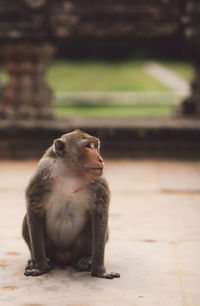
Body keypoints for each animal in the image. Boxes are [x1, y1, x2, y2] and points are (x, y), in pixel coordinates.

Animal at [21, 129, 119, 280]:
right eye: (88, 146)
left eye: (95, 146)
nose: (100, 159)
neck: (71, 174)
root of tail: (64, 259)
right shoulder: (42, 174)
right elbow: (34, 210)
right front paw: (41, 267)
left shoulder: (99, 182)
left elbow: (99, 215)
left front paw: (99, 270)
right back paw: (36, 260)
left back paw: (86, 259)